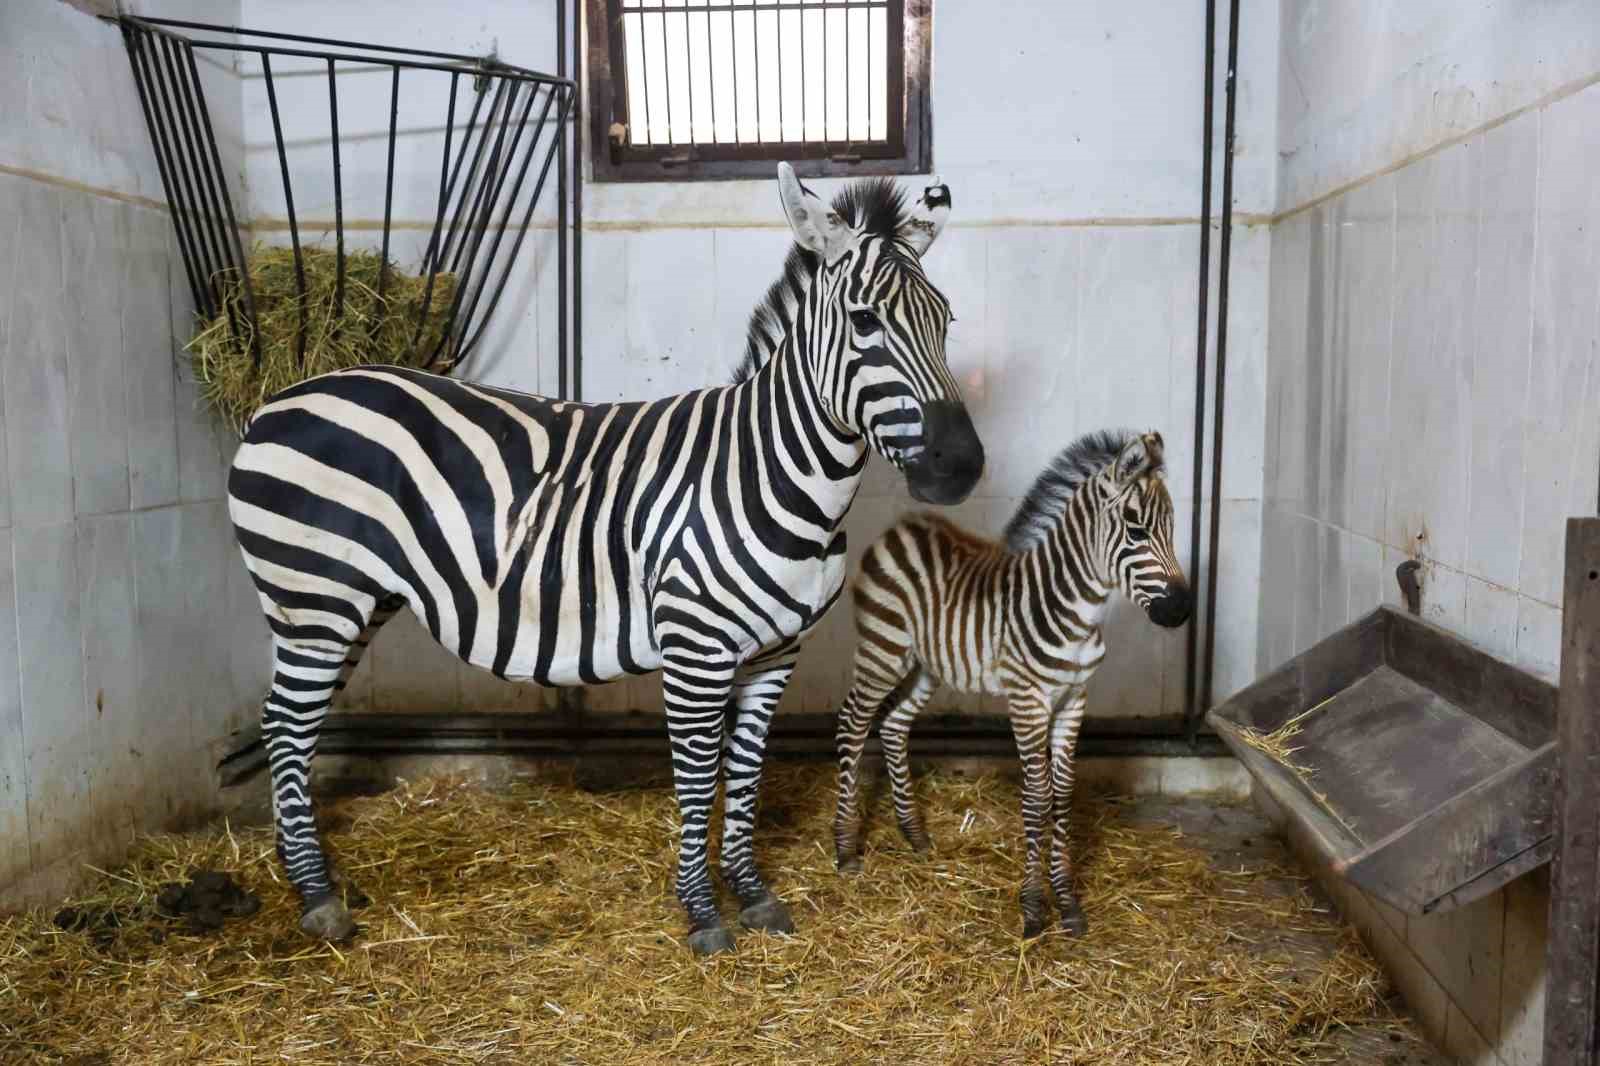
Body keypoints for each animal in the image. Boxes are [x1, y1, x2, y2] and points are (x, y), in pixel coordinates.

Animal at [227, 163, 985, 956]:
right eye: (866, 322)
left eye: (945, 321)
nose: (961, 466)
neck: (773, 470)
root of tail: (280, 397)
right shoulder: (695, 649)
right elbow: (698, 776)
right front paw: (703, 914)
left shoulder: (777, 652)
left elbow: (746, 770)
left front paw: (753, 894)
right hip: (315, 597)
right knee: (286, 726)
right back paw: (317, 898)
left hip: (350, 603)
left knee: (290, 724)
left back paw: (298, 869)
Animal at [831, 429, 1189, 937]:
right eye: (1136, 530)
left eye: (1172, 529)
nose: (1181, 611)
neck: (1074, 609)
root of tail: (902, 526)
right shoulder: (1028, 700)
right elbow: (1037, 797)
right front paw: (1034, 906)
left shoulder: (1074, 699)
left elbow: (1063, 792)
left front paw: (1068, 902)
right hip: (883, 651)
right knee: (853, 724)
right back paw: (845, 849)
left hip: (927, 665)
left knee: (894, 725)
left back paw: (914, 835)